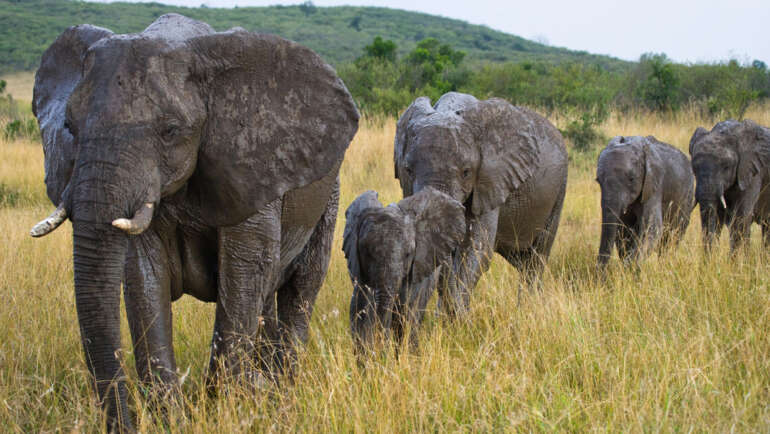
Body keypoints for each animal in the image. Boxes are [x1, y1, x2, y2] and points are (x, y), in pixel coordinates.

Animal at [27, 13, 356, 430]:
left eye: (170, 131)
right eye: (70, 127)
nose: (124, 424)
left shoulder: (252, 167)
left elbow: (244, 273)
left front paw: (228, 410)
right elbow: (143, 278)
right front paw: (173, 419)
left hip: (330, 195)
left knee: (300, 289)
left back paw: (280, 392)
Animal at [392, 91, 568, 316]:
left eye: (466, 172)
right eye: (408, 170)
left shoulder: (491, 180)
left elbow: (478, 249)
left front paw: (459, 318)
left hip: (559, 191)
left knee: (536, 259)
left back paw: (529, 310)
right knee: (521, 259)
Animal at [592, 135, 696, 268]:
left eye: (631, 179)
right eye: (598, 181)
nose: (599, 270)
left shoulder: (654, 185)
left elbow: (651, 229)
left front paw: (630, 267)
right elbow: (622, 231)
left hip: (687, 196)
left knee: (671, 239)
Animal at [688, 120, 768, 253]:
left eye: (726, 167)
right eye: (694, 168)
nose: (709, 257)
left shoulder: (752, 172)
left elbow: (741, 218)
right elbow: (715, 217)